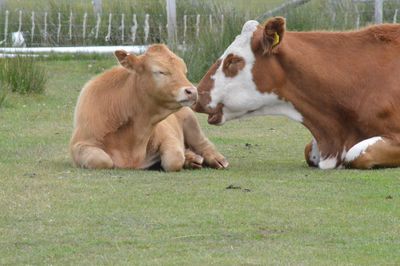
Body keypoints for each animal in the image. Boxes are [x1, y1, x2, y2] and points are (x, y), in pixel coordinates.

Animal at [70, 44, 228, 170]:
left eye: (184, 72)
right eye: (160, 71)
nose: (192, 91)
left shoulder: (168, 136)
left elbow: (174, 159)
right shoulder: (79, 145)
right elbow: (102, 160)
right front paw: (188, 158)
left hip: (191, 121)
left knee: (203, 144)